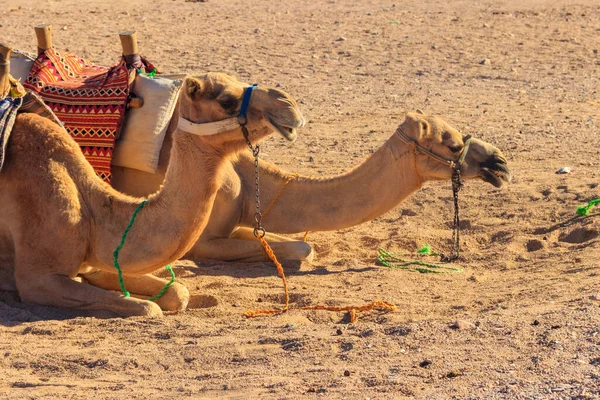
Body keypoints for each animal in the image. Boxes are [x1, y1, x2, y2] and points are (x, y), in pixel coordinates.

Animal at [0, 44, 302, 316]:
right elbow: (149, 309)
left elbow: (177, 292)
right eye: (226, 101)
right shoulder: (38, 278)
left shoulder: (98, 263)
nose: (288, 104)